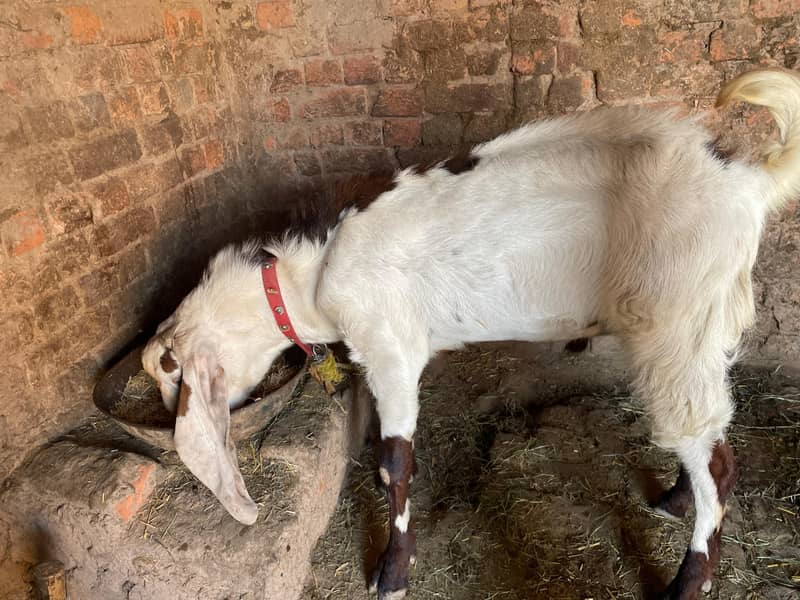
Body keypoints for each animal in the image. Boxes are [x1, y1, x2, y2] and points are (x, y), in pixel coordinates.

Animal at [142, 68, 800, 599]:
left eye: (171, 375)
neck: (312, 269)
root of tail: (746, 183)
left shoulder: (391, 348)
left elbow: (394, 464)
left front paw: (393, 571)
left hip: (675, 318)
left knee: (716, 458)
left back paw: (689, 579)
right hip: (703, 328)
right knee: (705, 431)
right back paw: (676, 498)